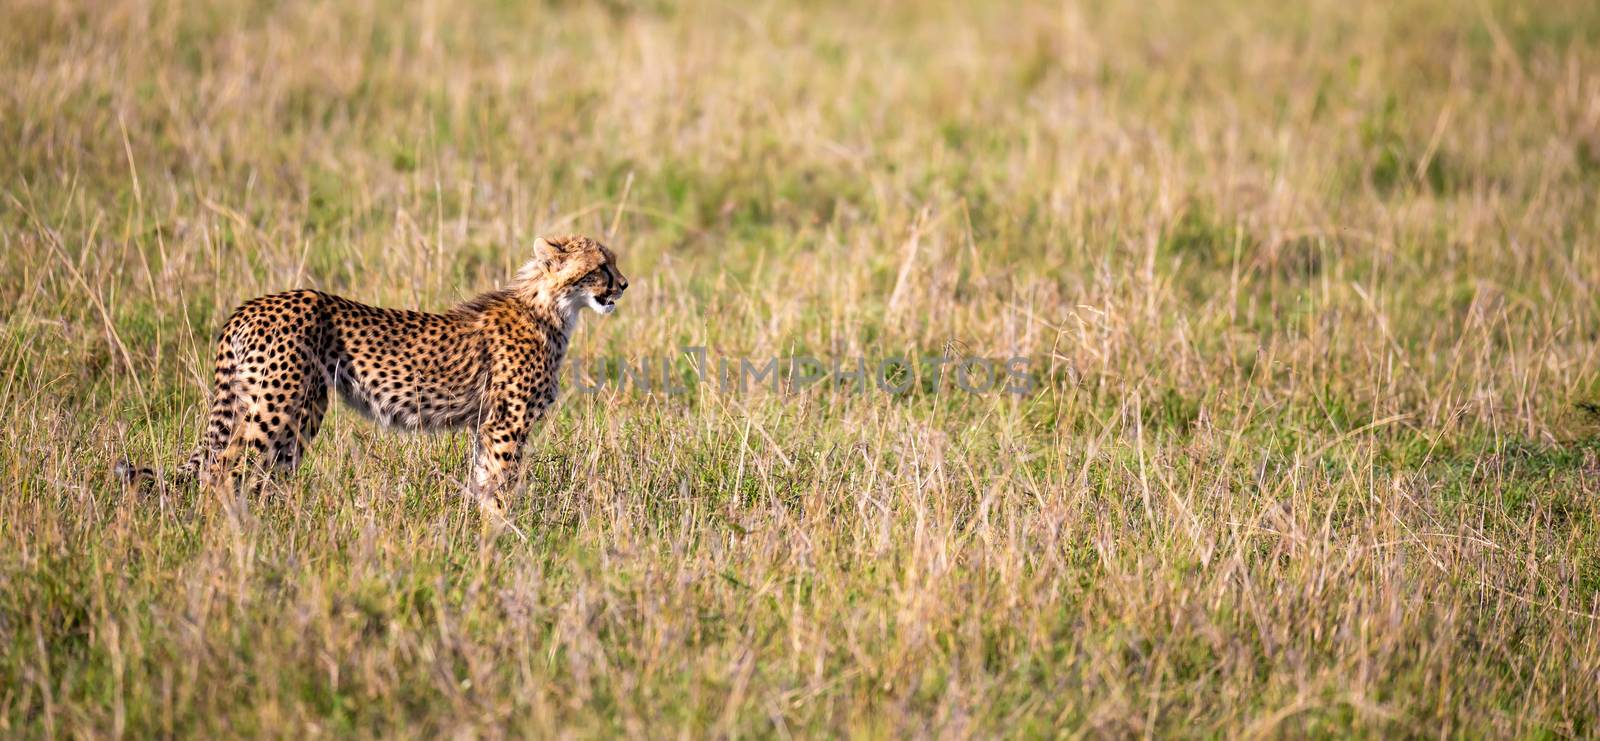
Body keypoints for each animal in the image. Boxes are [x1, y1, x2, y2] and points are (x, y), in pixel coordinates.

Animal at [116, 235, 624, 512]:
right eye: (601, 266)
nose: (624, 284)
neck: (551, 307)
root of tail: (252, 304)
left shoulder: (487, 424)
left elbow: (483, 481)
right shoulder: (506, 425)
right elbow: (500, 484)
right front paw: (501, 539)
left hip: (298, 408)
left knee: (259, 471)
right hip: (278, 404)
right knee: (224, 469)